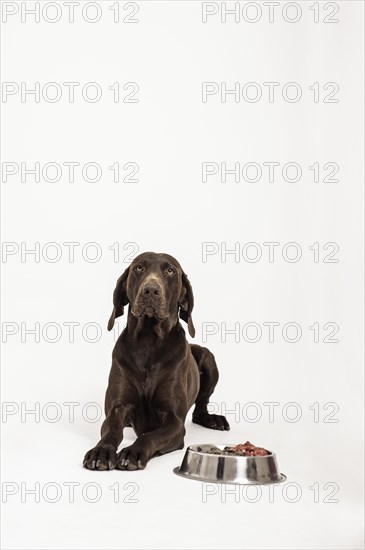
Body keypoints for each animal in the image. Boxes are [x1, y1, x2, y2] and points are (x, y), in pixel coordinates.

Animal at [84, 252, 229, 472]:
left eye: (170, 271)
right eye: (138, 268)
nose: (151, 290)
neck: (148, 342)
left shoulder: (174, 422)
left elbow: (150, 436)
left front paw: (133, 452)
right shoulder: (118, 408)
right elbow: (111, 431)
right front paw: (101, 452)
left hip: (207, 358)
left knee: (200, 408)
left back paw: (213, 419)